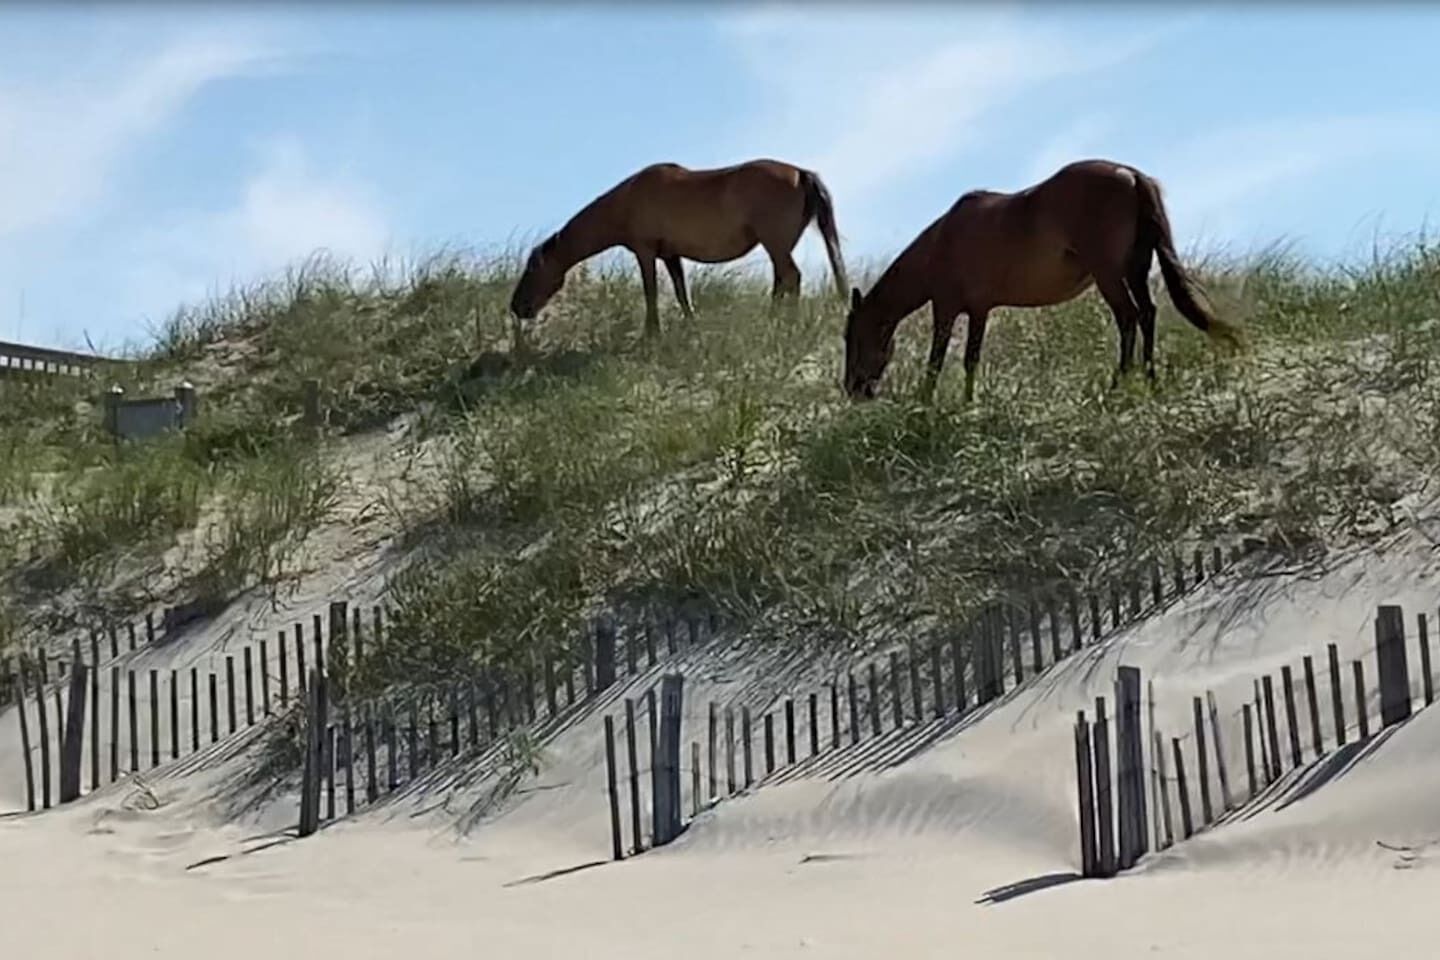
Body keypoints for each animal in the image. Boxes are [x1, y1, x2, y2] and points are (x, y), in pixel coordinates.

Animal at [509, 159, 849, 339]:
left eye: (532, 270)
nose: (516, 307)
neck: (627, 201)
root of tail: (800, 172)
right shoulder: (671, 255)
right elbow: (681, 292)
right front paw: (690, 327)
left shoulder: (645, 252)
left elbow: (651, 292)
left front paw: (651, 335)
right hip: (777, 245)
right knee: (782, 280)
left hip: (775, 243)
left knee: (791, 277)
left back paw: (787, 326)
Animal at [842, 158, 1244, 403]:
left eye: (853, 337)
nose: (852, 389)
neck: (943, 241)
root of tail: (1129, 174)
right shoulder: (980, 310)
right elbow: (971, 358)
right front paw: (968, 401)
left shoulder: (947, 308)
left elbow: (937, 360)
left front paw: (926, 403)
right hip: (1135, 270)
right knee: (1147, 314)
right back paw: (1151, 380)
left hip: (1109, 274)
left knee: (1128, 318)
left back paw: (1118, 385)